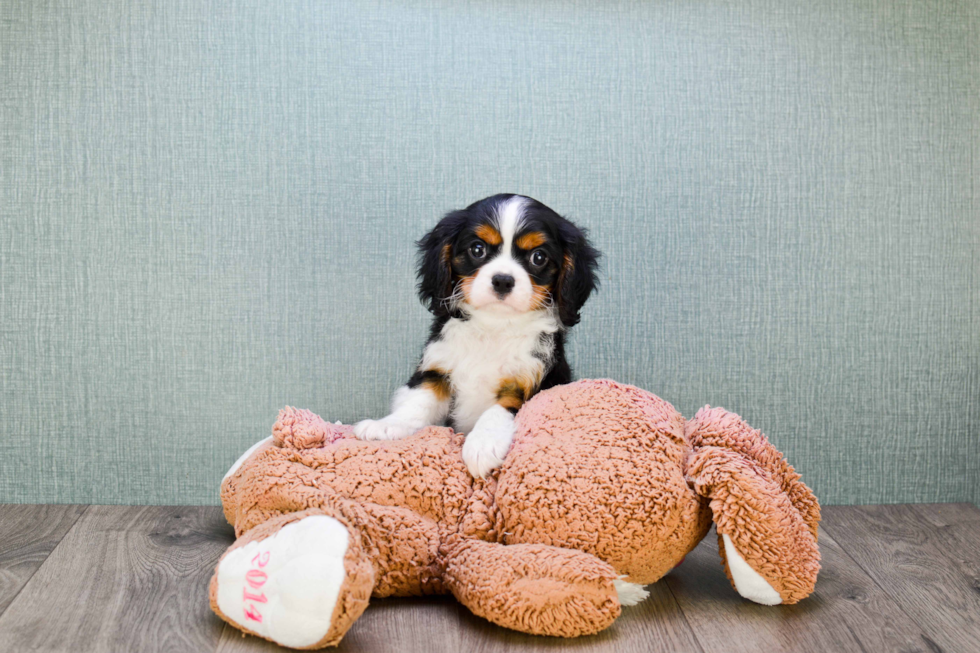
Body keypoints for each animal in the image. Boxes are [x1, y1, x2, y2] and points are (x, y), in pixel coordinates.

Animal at [352, 191, 596, 476]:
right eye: (477, 249)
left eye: (539, 257)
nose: (503, 280)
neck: (494, 327)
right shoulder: (438, 369)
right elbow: (417, 401)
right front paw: (387, 425)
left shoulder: (530, 382)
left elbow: (498, 410)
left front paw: (482, 445)